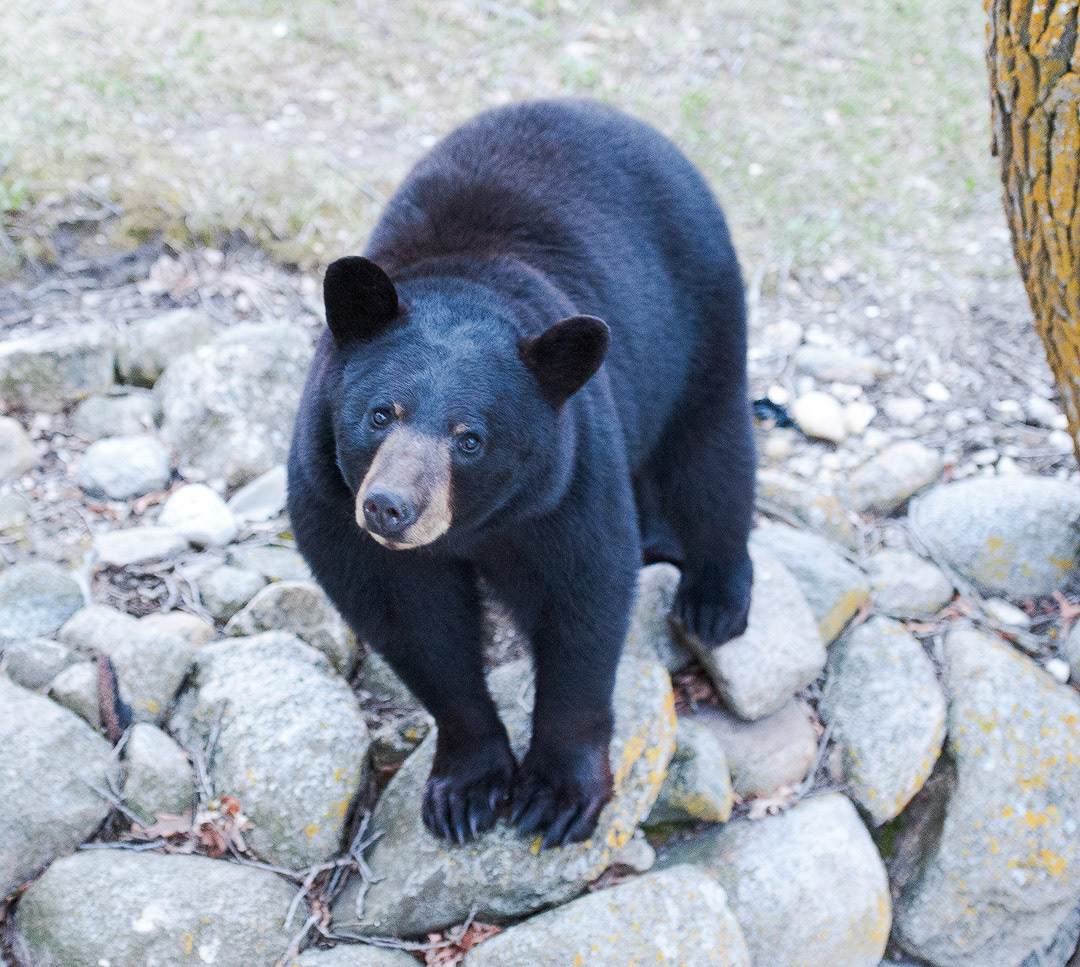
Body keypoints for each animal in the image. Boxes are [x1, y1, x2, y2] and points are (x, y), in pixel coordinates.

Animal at [287, 98, 755, 849]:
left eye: (471, 439)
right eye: (379, 414)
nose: (389, 507)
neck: (478, 525)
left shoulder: (566, 483)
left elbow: (583, 602)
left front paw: (558, 794)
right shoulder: (329, 499)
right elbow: (413, 626)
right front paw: (467, 786)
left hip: (702, 302)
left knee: (710, 448)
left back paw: (713, 597)